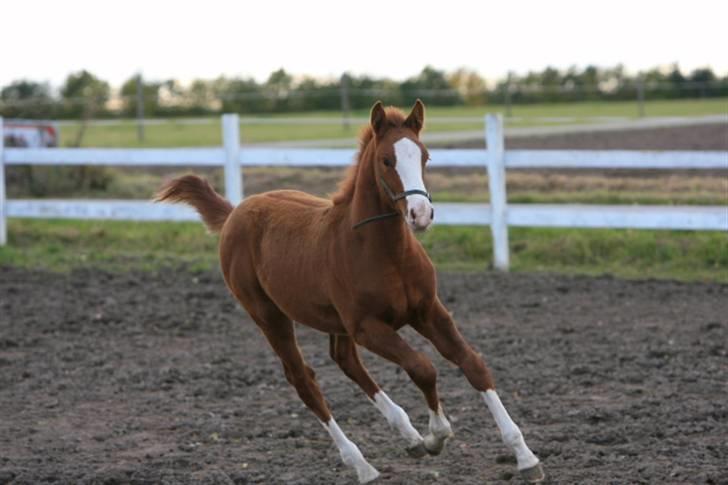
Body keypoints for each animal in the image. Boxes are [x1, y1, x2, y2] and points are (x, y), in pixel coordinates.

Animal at [156, 100, 544, 482]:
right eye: (386, 160)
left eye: (425, 156)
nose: (420, 214)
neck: (384, 251)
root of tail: (235, 213)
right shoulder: (367, 327)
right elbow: (422, 367)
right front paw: (437, 435)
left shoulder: (429, 311)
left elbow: (472, 363)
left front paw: (525, 456)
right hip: (270, 317)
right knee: (304, 380)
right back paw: (363, 465)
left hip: (334, 322)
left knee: (345, 361)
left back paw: (408, 437)